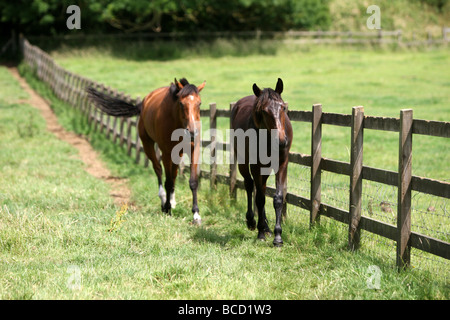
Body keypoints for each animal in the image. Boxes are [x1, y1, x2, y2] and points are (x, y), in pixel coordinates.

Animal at [87, 78, 206, 224]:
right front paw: (167, 209)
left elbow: (193, 182)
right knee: (158, 169)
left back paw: (172, 201)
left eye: (199, 103)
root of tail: (144, 101)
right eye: (181, 104)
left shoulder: (193, 150)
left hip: (177, 152)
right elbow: (167, 181)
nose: (192, 132)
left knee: (173, 173)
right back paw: (164, 200)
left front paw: (196, 215)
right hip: (147, 144)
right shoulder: (166, 152)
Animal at [232, 79, 292, 246]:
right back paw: (252, 221)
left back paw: (266, 227)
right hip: (243, 161)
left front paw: (278, 236)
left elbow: (277, 198)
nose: (281, 141)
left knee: (261, 189)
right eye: (264, 111)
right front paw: (260, 233)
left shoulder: (282, 164)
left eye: (283, 107)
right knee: (249, 185)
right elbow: (259, 198)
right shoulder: (256, 166)